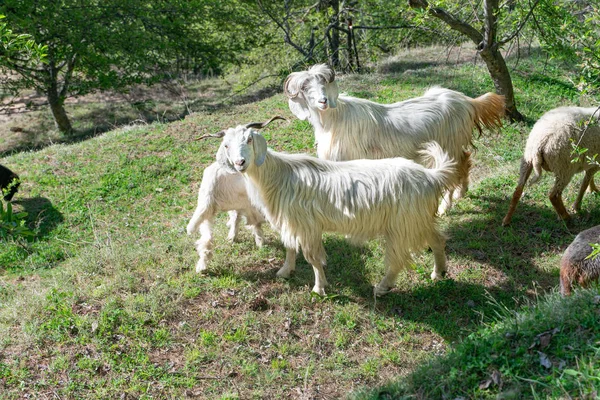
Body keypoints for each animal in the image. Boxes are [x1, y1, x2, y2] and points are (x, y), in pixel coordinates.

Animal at [284, 63, 504, 212]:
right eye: (304, 88)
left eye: (323, 84)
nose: (323, 101)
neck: (334, 119)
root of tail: (467, 101)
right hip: (455, 144)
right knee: (466, 160)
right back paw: (461, 192)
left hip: (448, 146)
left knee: (454, 169)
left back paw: (444, 207)